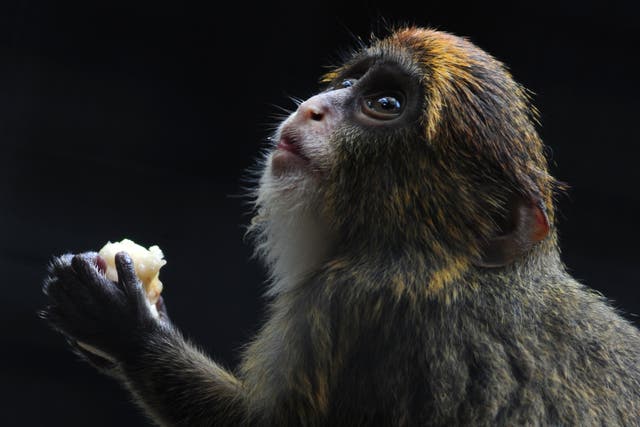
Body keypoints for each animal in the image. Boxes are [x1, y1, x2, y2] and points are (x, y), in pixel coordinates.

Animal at [41, 27, 640, 426]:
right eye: (351, 81)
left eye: (384, 102)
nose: (314, 107)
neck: (450, 262)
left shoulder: (352, 300)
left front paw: (130, 329)